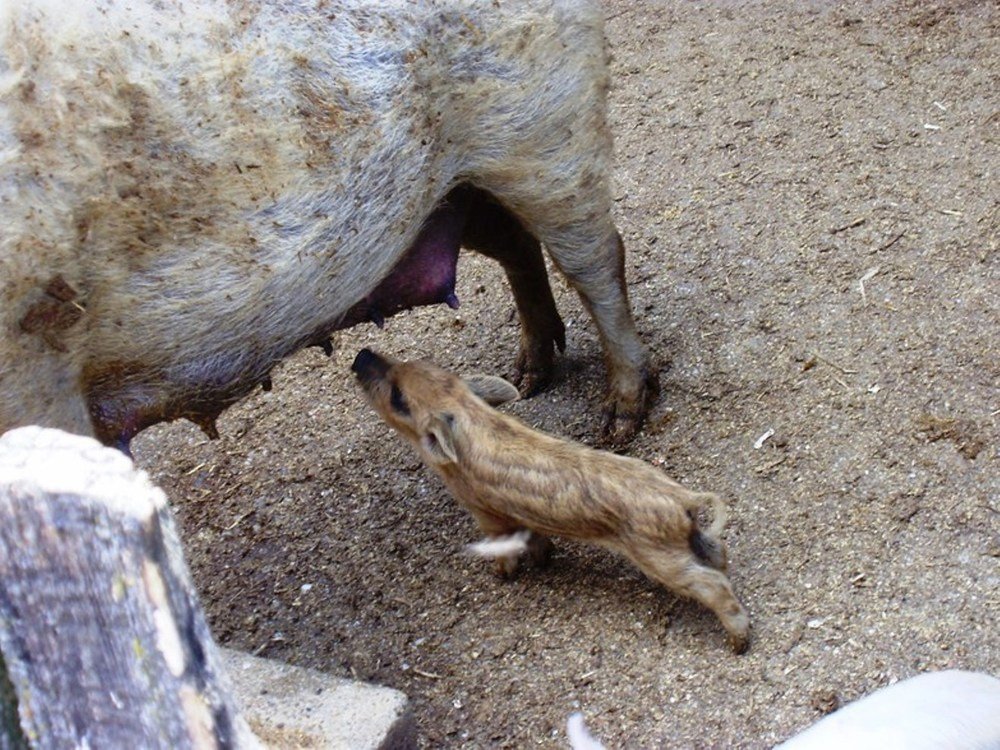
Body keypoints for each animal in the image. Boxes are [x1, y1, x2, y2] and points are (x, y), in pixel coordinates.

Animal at [0, 0, 658, 453]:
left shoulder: (35, 368)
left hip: (546, 127)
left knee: (598, 260)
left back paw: (620, 421)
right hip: (451, 188)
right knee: (517, 245)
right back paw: (529, 377)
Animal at [352, 348, 750, 653]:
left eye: (398, 397)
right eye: (409, 362)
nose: (361, 356)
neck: (470, 415)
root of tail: (683, 497)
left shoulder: (487, 514)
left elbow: (504, 546)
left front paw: (502, 576)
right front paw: (543, 562)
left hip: (659, 555)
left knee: (713, 584)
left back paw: (738, 644)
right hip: (688, 540)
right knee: (720, 555)